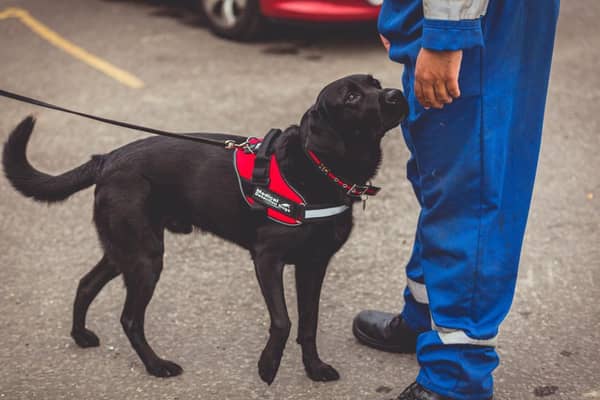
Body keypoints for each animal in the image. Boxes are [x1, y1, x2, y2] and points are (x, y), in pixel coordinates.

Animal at [1, 73, 408, 382]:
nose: (397, 93)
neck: (320, 168)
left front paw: (314, 369)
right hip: (145, 257)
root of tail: (107, 159)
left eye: (375, 82)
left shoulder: (314, 265)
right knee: (130, 318)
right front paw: (268, 366)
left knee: (86, 284)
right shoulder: (267, 259)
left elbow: (309, 322)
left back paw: (81, 336)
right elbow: (283, 320)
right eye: (352, 96)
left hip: (125, 250)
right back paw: (156, 365)